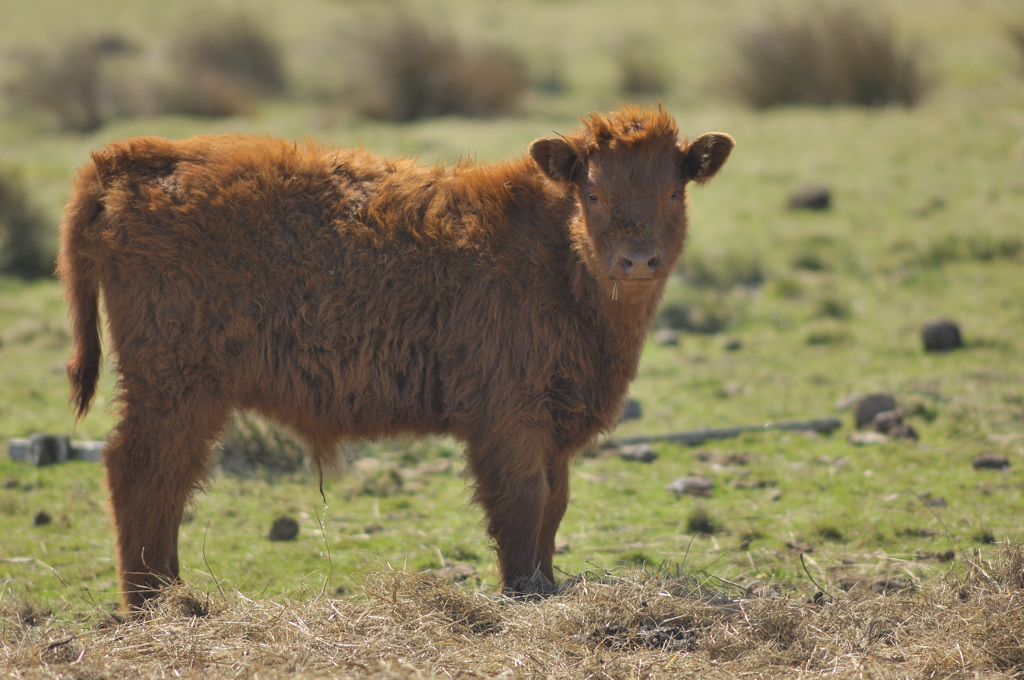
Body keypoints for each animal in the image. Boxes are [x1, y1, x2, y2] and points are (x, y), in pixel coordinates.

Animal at [58, 104, 729, 606]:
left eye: (675, 191)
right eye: (593, 192)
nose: (637, 260)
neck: (552, 256)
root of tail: (133, 158)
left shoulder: (553, 422)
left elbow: (552, 507)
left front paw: (548, 585)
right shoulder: (507, 419)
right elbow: (522, 502)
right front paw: (523, 593)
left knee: (159, 479)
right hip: (176, 388)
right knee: (144, 472)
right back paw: (158, 603)